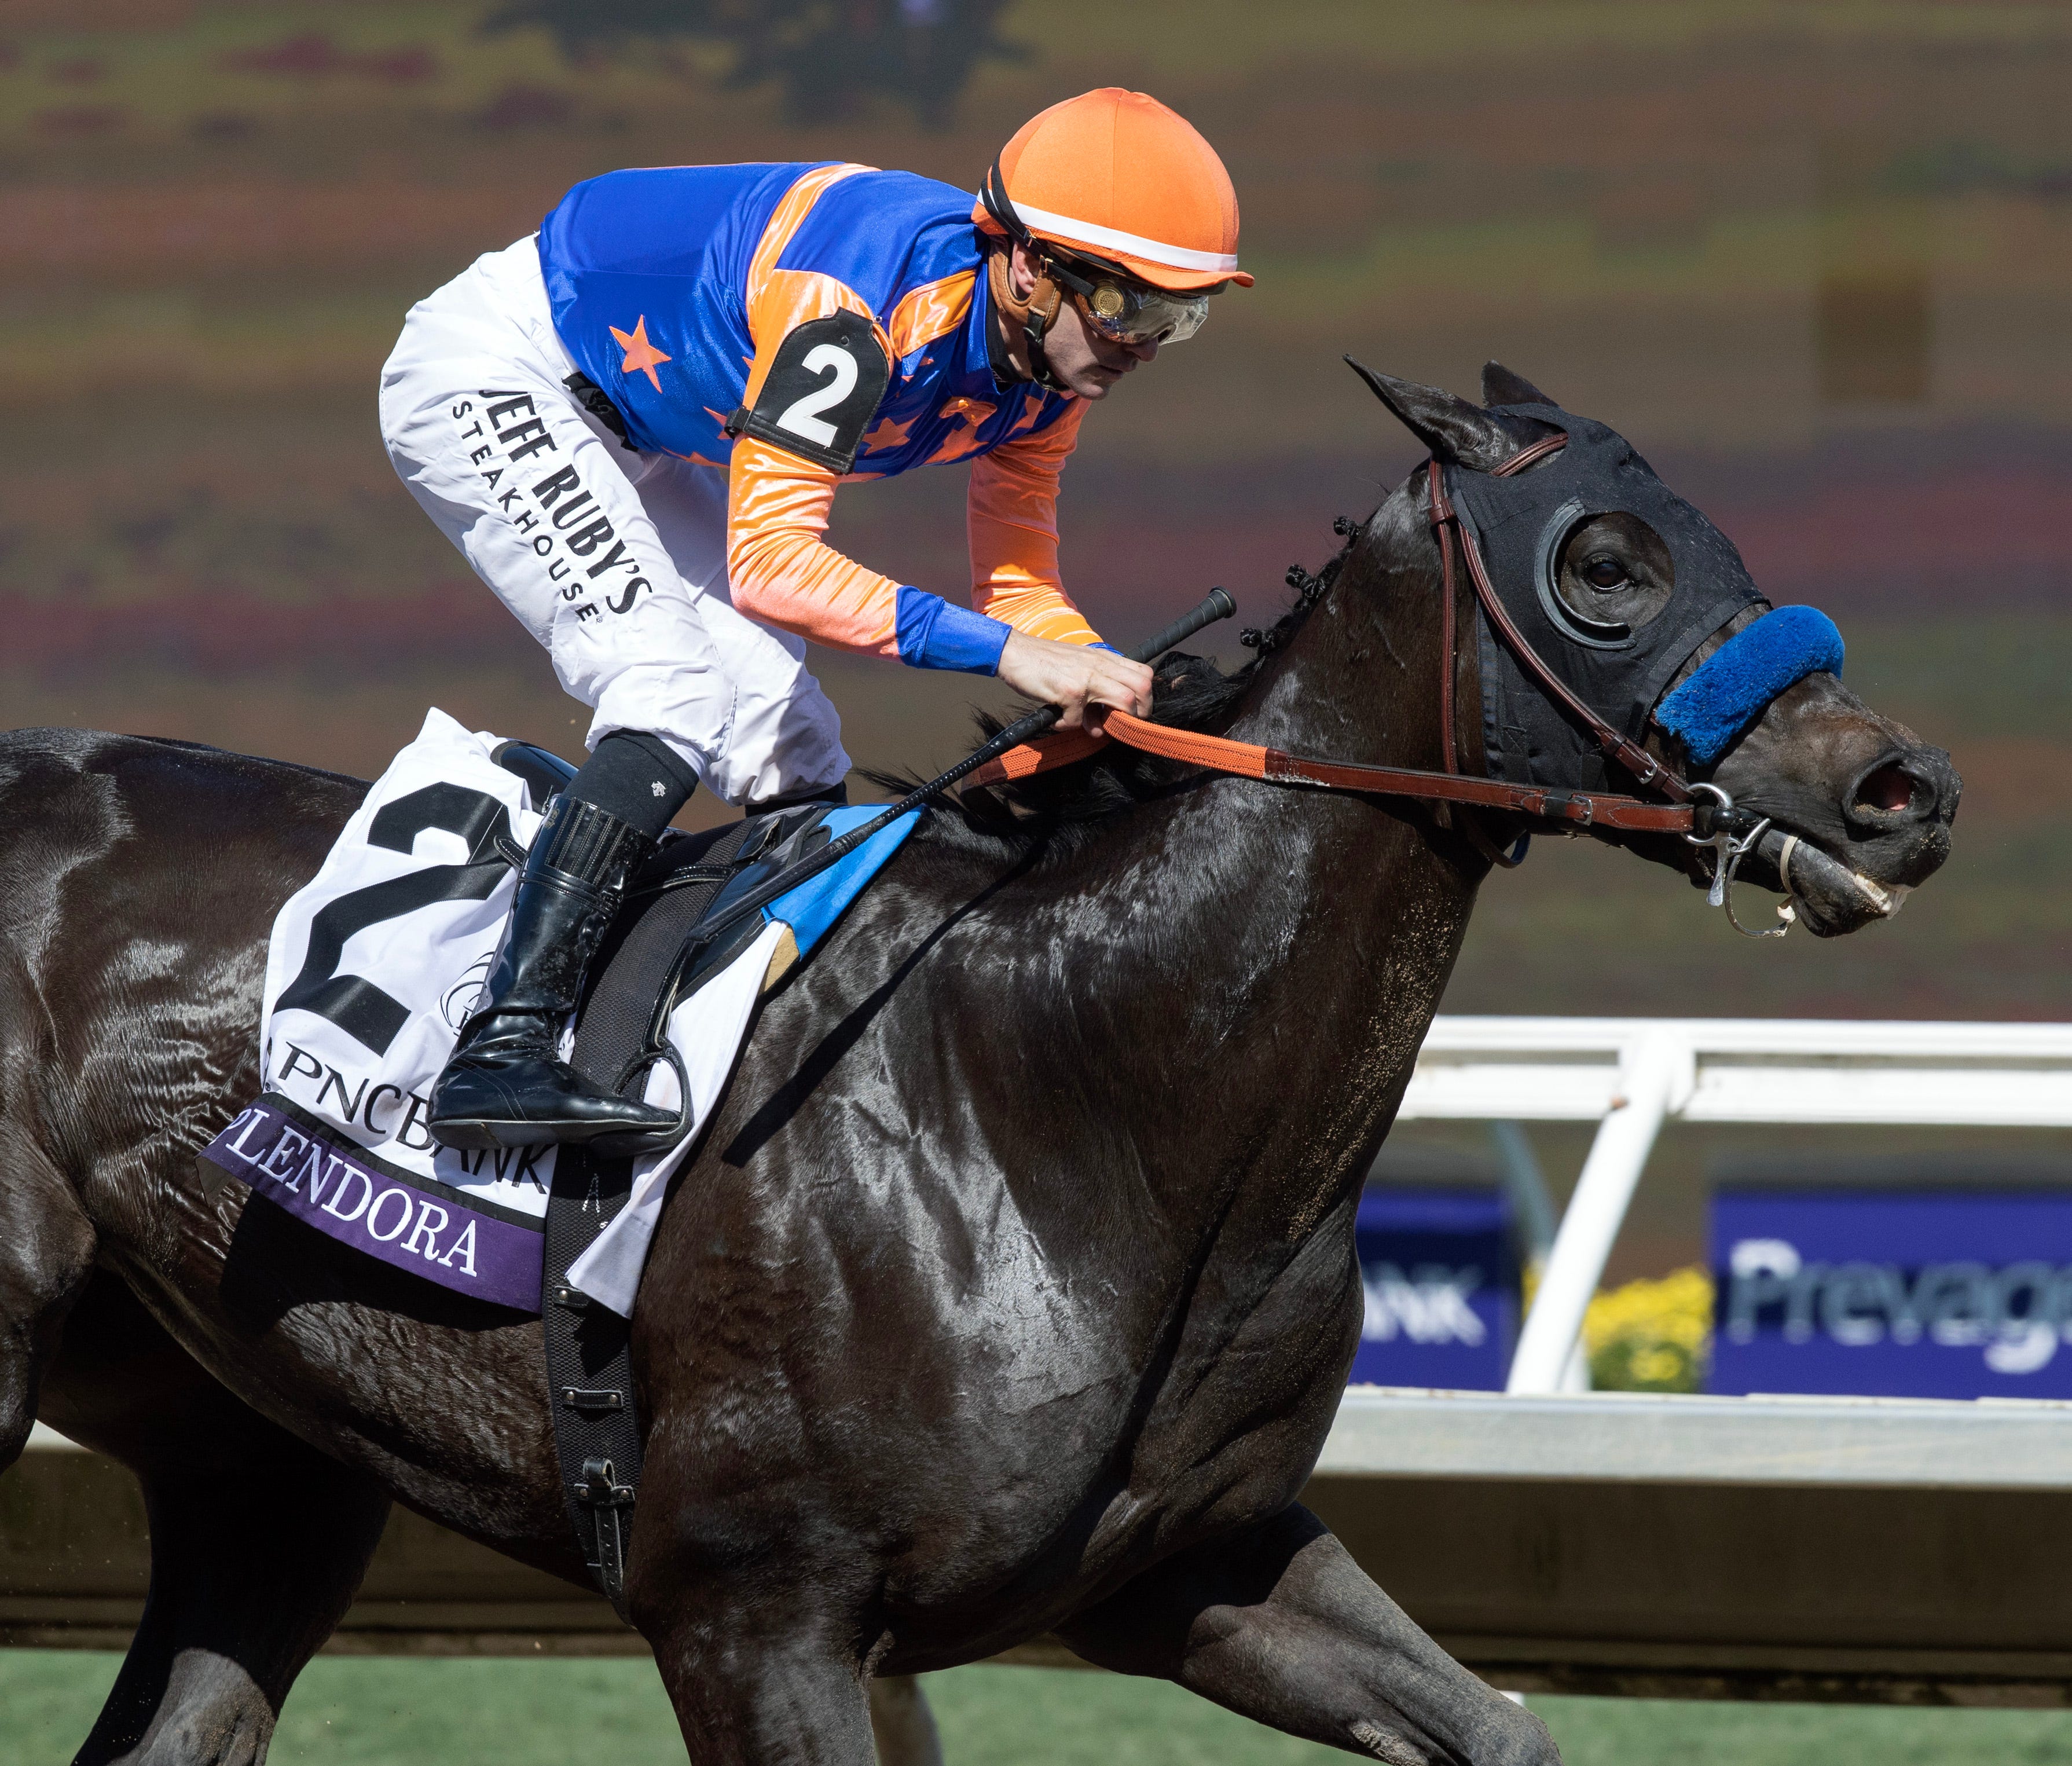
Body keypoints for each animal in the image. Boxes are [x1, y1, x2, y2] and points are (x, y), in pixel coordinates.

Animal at [2, 364, 1956, 1765]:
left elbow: (1498, 1730)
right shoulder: (749, 1607)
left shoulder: (1189, 1561)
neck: (1072, 1085)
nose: (1899, 787)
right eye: (1605, 562)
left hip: (259, 1454)